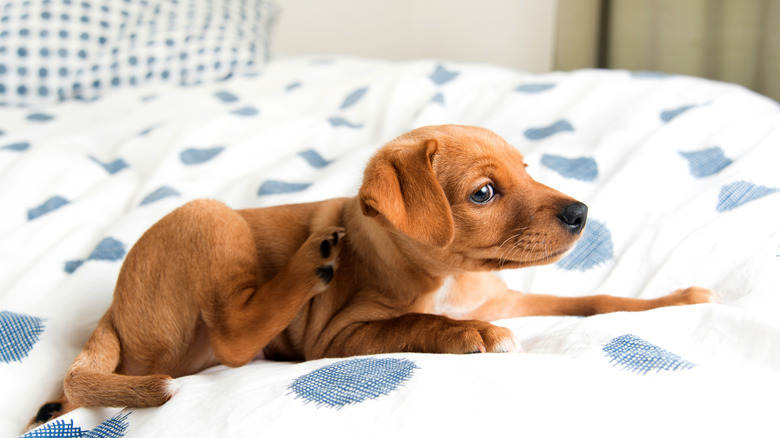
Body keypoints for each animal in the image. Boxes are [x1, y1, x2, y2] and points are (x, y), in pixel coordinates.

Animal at [29, 126, 712, 428]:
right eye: (484, 192)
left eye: (527, 169)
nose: (581, 214)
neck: (453, 279)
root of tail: (111, 310)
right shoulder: (340, 335)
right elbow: (416, 321)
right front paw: (470, 336)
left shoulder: (510, 296)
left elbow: (596, 300)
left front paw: (679, 296)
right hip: (208, 218)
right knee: (233, 335)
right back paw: (309, 262)